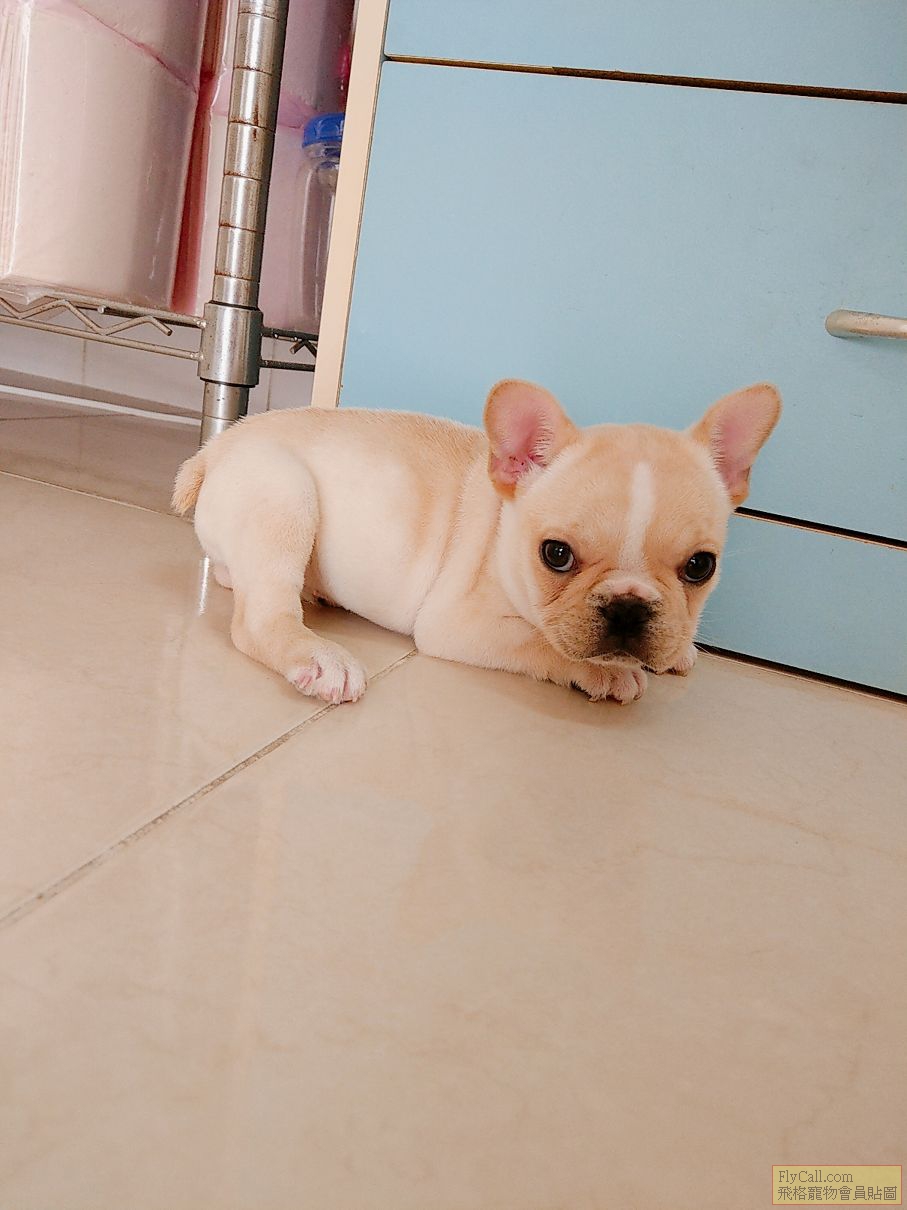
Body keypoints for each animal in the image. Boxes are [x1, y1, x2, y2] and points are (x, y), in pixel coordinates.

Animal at [172, 379, 780, 705]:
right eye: (556, 555)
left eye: (701, 566)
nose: (629, 607)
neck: (504, 530)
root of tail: (214, 451)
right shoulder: (459, 625)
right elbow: (541, 643)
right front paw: (607, 672)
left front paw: (680, 650)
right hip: (283, 493)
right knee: (260, 617)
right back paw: (320, 657)